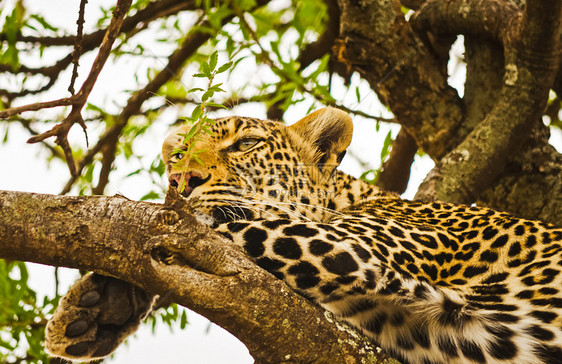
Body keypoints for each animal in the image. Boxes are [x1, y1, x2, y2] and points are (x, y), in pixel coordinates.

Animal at [44, 108, 560, 364]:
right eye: (178, 155)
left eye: (245, 144)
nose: (180, 179)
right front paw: (97, 307)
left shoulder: (351, 248)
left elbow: (209, 225)